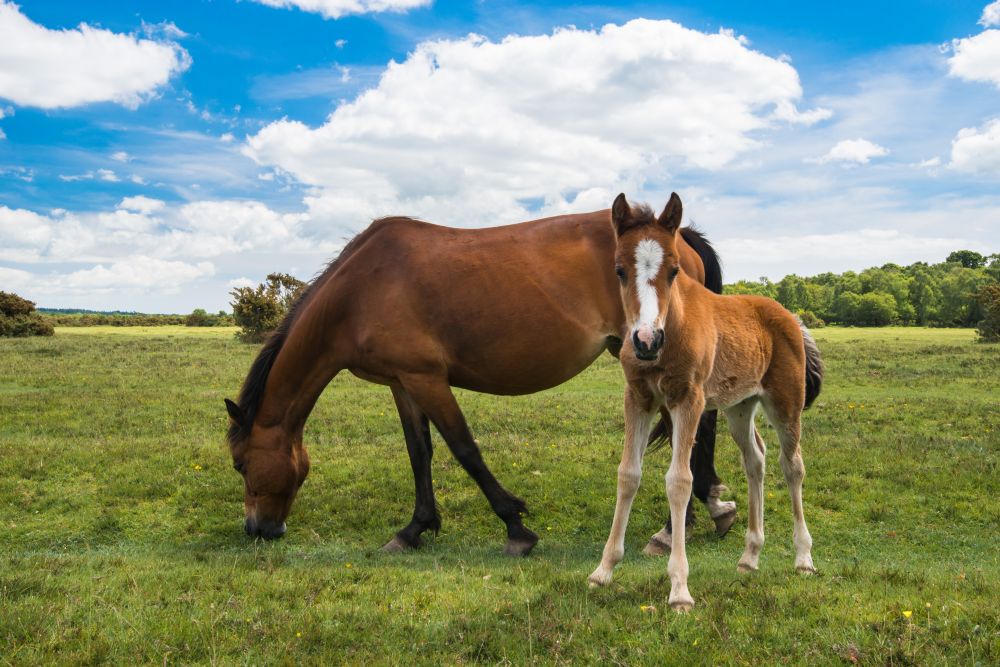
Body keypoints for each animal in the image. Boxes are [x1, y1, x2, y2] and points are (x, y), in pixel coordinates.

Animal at [224, 207, 736, 556]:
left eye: (241, 464)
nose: (257, 529)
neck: (360, 289)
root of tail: (679, 236)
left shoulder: (427, 379)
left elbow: (464, 449)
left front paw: (516, 529)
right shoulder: (402, 382)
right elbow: (420, 453)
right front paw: (414, 529)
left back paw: (675, 528)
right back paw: (707, 509)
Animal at [587, 193, 823, 610]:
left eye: (674, 271)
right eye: (619, 270)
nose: (646, 340)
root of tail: (792, 317)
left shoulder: (689, 400)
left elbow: (680, 480)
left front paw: (680, 589)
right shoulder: (638, 398)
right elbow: (628, 474)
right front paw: (604, 570)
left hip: (785, 401)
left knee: (792, 466)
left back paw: (803, 558)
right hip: (739, 406)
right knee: (755, 460)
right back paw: (749, 557)